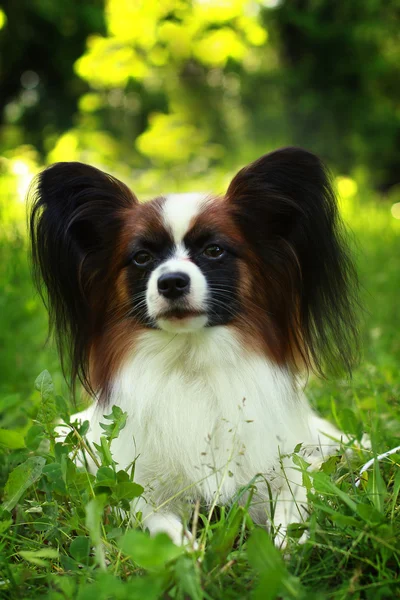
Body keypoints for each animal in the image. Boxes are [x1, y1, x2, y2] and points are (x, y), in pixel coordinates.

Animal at [28, 148, 360, 548]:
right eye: (142, 258)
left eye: (214, 250)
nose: (171, 282)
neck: (190, 364)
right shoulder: (142, 490)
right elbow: (162, 528)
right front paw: (192, 554)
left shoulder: (283, 467)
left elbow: (292, 502)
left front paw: (286, 545)